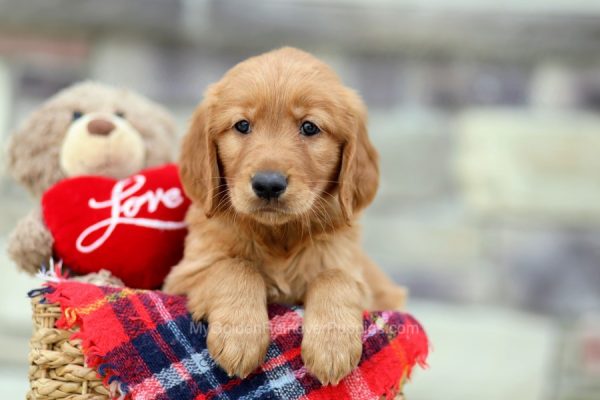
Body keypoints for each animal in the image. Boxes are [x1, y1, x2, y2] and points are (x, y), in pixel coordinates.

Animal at [164, 47, 406, 388]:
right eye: (242, 126)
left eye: (309, 127)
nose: (268, 184)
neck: (278, 235)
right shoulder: (184, 275)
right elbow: (236, 266)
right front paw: (240, 337)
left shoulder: (358, 277)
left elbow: (334, 276)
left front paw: (332, 347)